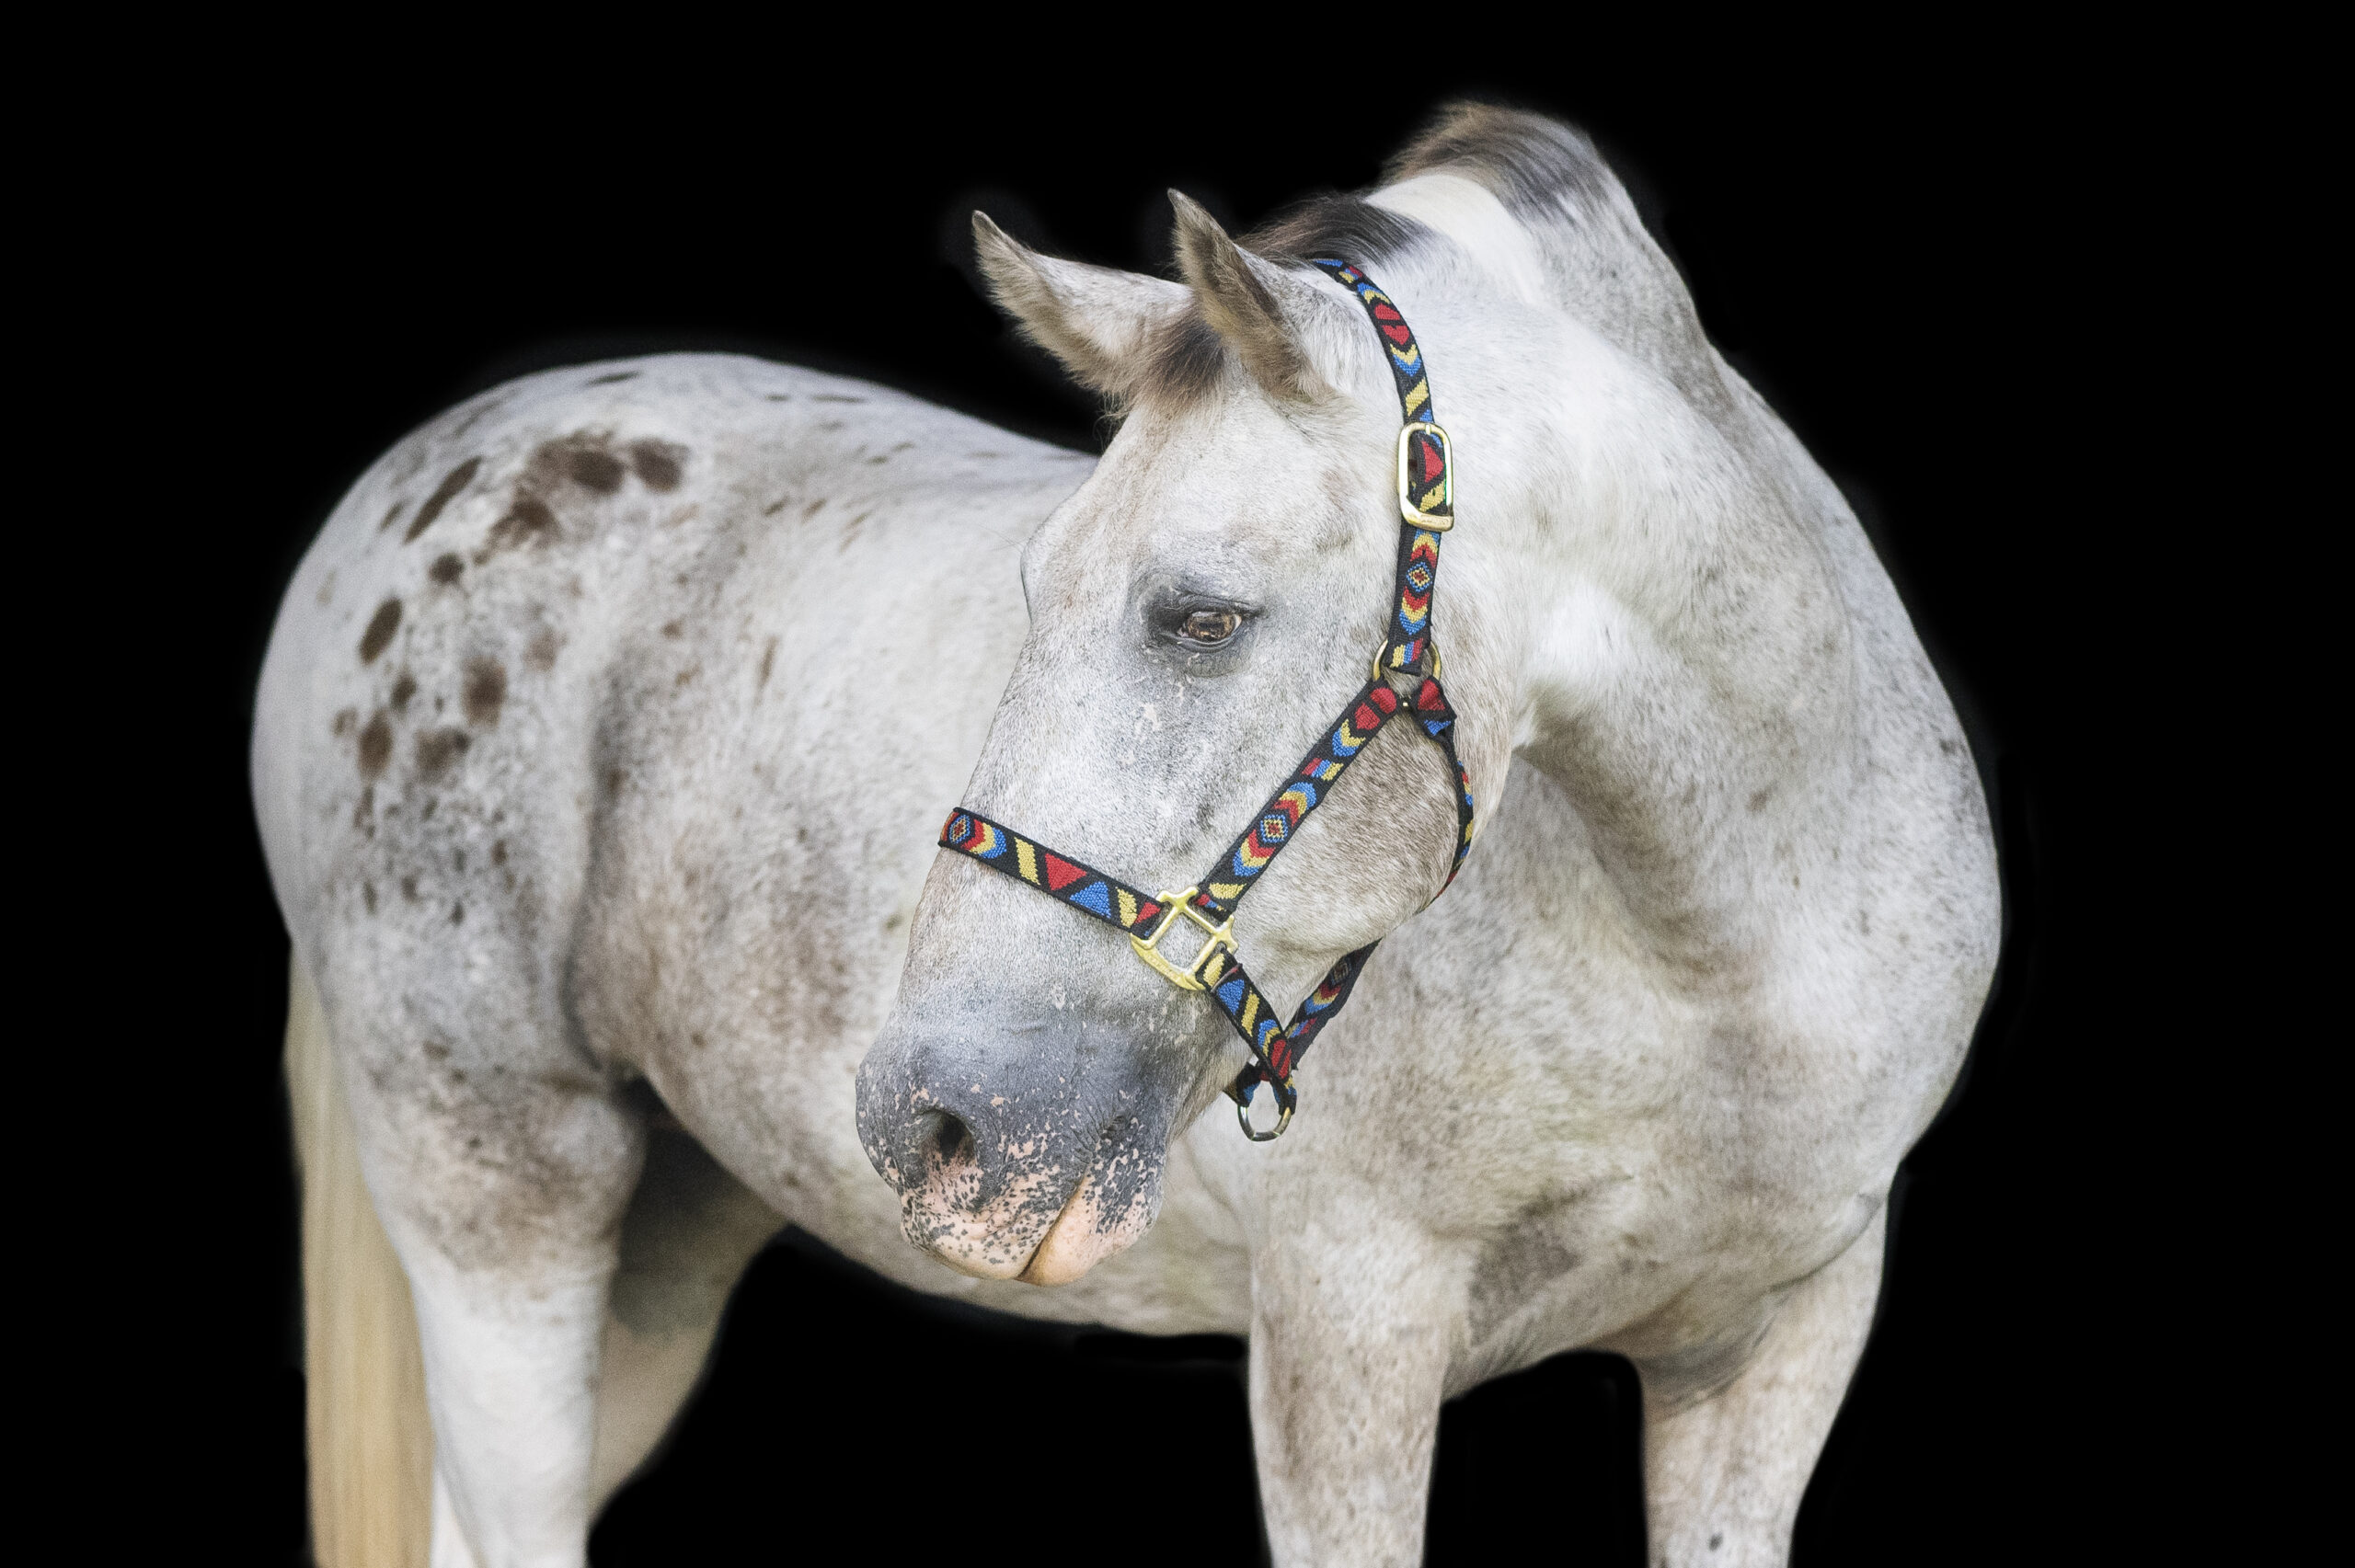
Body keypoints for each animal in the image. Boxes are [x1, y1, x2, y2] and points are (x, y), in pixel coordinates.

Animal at [253, 103, 1987, 1553]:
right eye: (1036, 583)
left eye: (1201, 615)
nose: (933, 1126)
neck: (1724, 970)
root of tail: (412, 486)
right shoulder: (1345, 1336)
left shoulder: (1776, 1353)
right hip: (500, 1202)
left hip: (667, 1243)